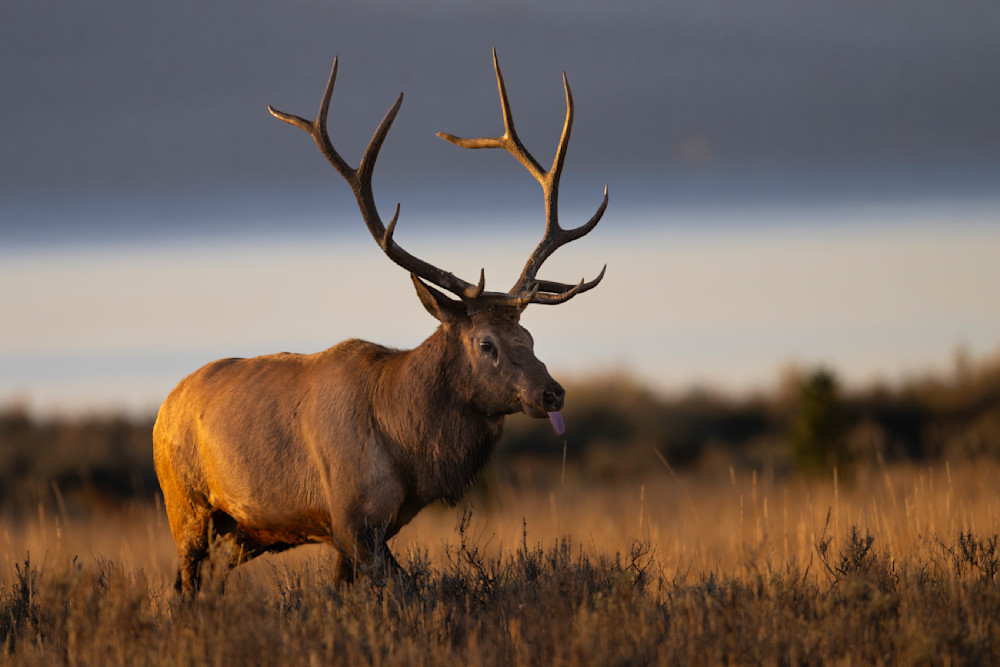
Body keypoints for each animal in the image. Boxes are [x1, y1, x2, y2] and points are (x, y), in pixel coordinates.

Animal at [152, 50, 607, 597]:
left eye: (529, 335)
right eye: (486, 343)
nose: (552, 393)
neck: (407, 447)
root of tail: (162, 409)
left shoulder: (367, 529)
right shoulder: (351, 520)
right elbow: (406, 590)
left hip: (239, 532)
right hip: (186, 506)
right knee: (179, 587)